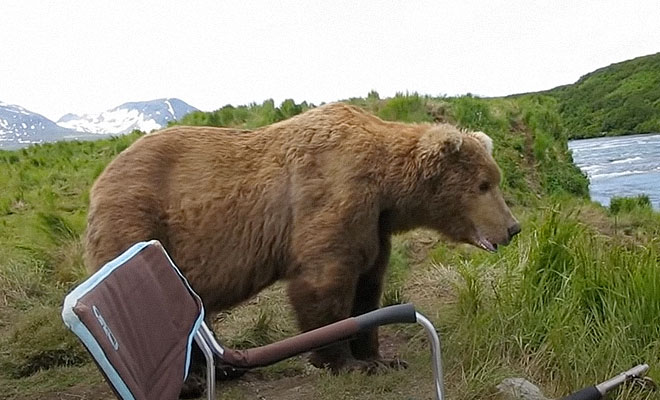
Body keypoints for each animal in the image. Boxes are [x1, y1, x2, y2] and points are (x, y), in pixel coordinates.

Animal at [84, 101, 520, 390]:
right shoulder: (332, 195)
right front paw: (343, 362)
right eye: (483, 184)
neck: (387, 188)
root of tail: (101, 179)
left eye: (494, 179)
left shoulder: (374, 225)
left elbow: (368, 284)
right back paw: (193, 380)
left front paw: (379, 356)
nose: (512, 228)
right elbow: (324, 281)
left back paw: (222, 367)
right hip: (138, 221)